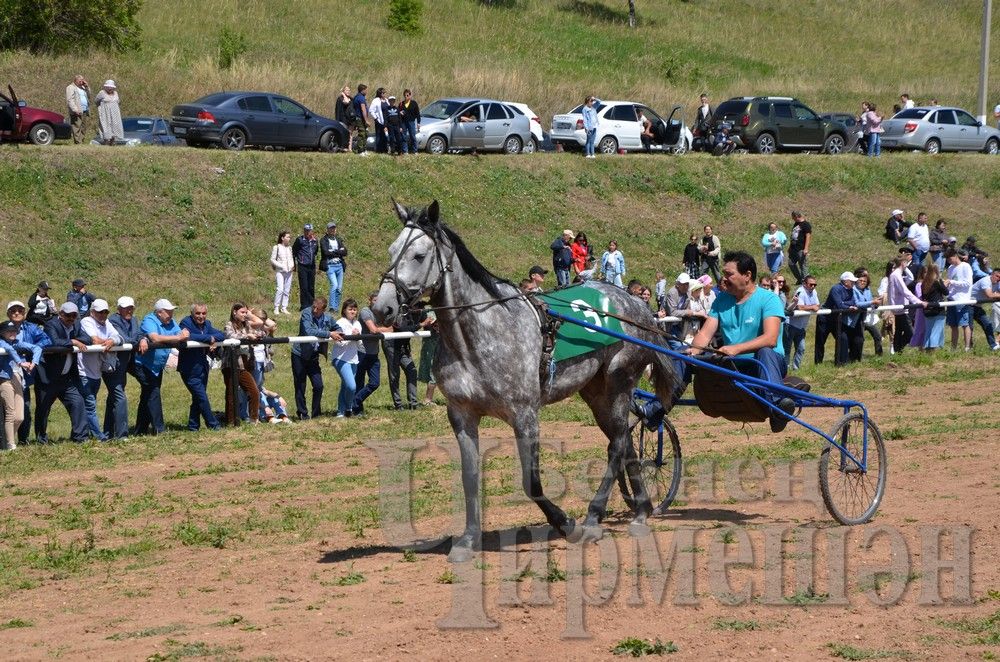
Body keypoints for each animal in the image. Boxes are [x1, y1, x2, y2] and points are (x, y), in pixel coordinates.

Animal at [376, 200, 680, 564]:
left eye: (419, 255)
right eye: (391, 250)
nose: (381, 308)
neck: (482, 333)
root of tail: (637, 304)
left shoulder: (525, 414)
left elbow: (531, 483)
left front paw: (567, 523)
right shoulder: (461, 414)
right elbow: (469, 477)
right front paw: (468, 539)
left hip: (619, 380)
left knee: (618, 443)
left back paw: (594, 517)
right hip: (595, 392)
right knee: (624, 440)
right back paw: (641, 509)